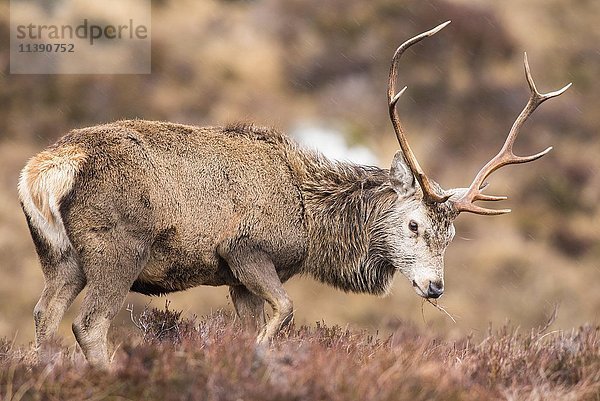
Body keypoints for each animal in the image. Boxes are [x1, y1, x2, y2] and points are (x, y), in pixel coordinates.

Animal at [18, 21, 572, 366]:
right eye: (414, 223)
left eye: (451, 235)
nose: (435, 287)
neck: (312, 223)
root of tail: (47, 170)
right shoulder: (245, 249)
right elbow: (285, 312)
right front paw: (264, 358)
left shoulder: (234, 278)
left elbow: (246, 327)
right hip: (119, 250)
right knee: (88, 325)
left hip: (61, 256)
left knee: (44, 316)